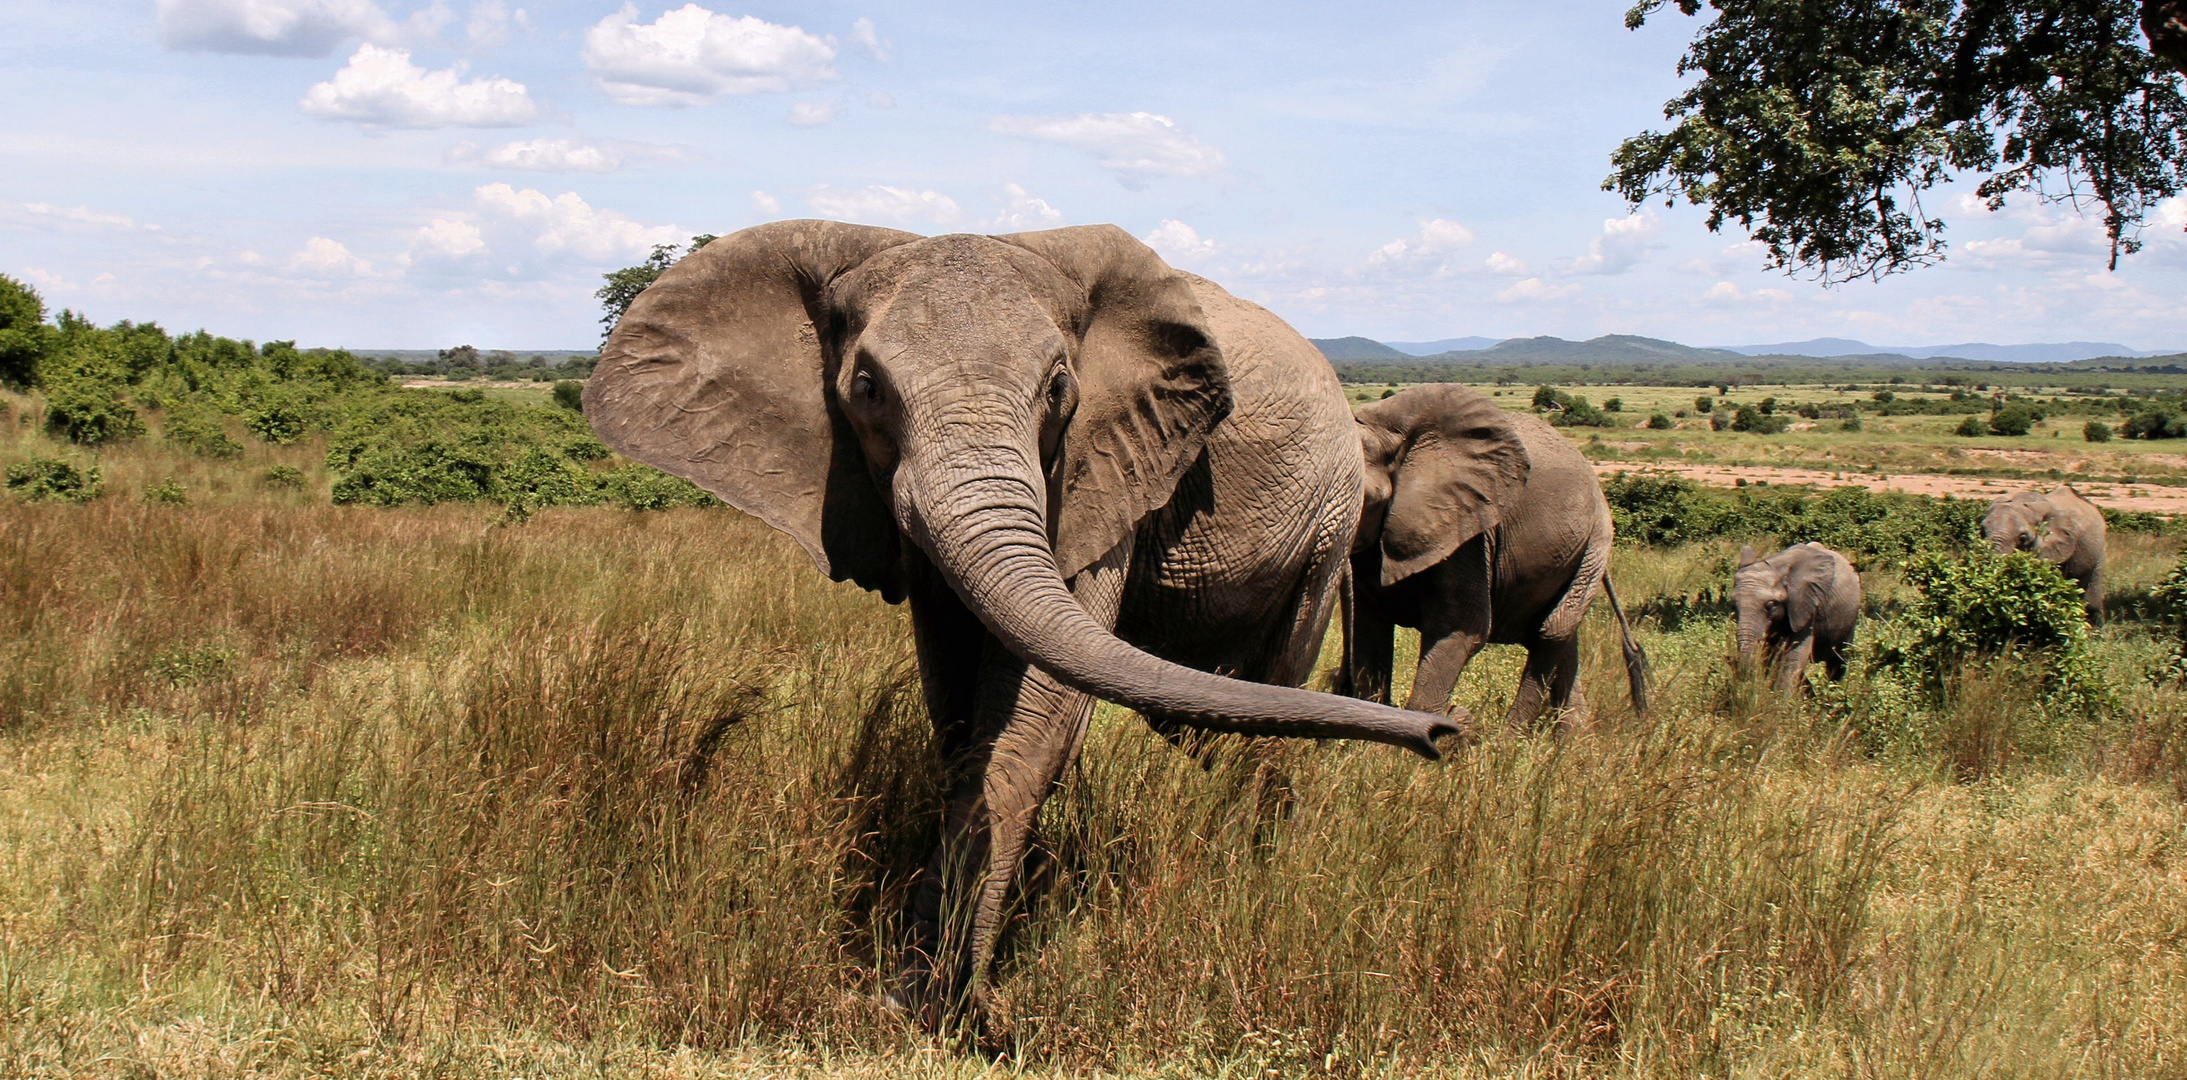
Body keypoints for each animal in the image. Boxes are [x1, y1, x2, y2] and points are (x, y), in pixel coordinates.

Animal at [581, 219, 1452, 1027]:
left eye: (1059, 388)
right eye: (865, 387)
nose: (1443, 736)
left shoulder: (1103, 463)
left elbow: (1033, 714)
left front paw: (942, 1003)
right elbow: (958, 705)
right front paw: (915, 990)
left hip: (1330, 517)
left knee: (1266, 694)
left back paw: (1251, 864)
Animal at [1338, 382, 1644, 734]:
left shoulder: (1469, 534)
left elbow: (1459, 628)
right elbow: (1370, 628)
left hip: (1596, 540)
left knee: (1553, 630)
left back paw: (1508, 738)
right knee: (1564, 638)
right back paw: (1572, 740)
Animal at [1723, 540, 1863, 690]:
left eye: (1770, 605)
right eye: (1733, 606)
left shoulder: (1806, 605)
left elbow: (1792, 658)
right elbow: (1772, 657)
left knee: (1839, 660)